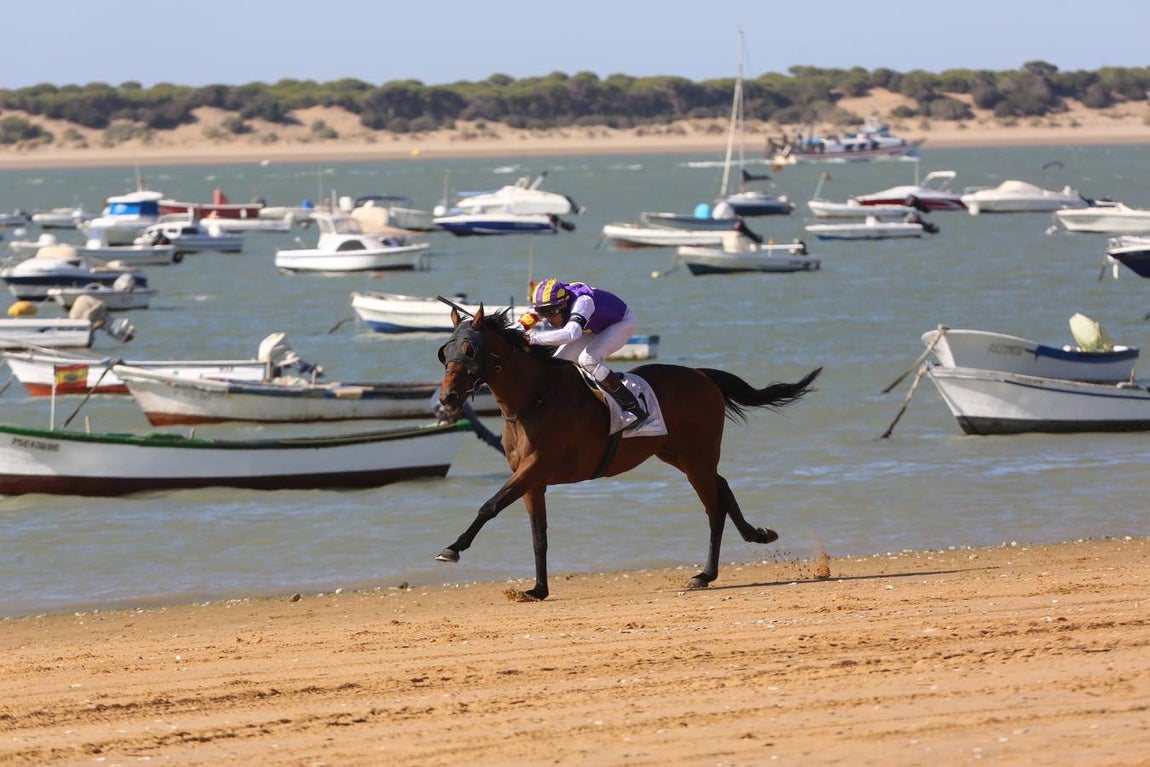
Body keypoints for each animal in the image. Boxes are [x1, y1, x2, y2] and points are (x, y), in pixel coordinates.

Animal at [436, 306, 821, 600]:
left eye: (470, 350)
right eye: (445, 351)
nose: (447, 398)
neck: (534, 397)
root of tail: (702, 375)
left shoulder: (536, 467)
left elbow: (490, 506)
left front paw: (452, 548)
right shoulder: (532, 478)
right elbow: (538, 534)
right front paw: (538, 589)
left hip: (697, 457)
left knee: (714, 507)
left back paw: (705, 574)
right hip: (678, 454)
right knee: (723, 488)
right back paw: (757, 534)